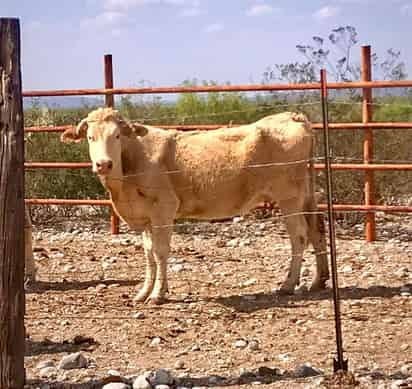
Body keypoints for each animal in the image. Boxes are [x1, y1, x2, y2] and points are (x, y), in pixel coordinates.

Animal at [62, 107, 330, 304]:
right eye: (90, 137)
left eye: (117, 136)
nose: (103, 164)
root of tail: (293, 116)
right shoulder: (146, 217)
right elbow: (148, 254)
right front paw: (143, 292)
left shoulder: (164, 209)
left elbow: (160, 252)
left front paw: (157, 295)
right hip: (306, 195)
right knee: (316, 229)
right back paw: (318, 281)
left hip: (289, 198)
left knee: (299, 236)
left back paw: (287, 284)